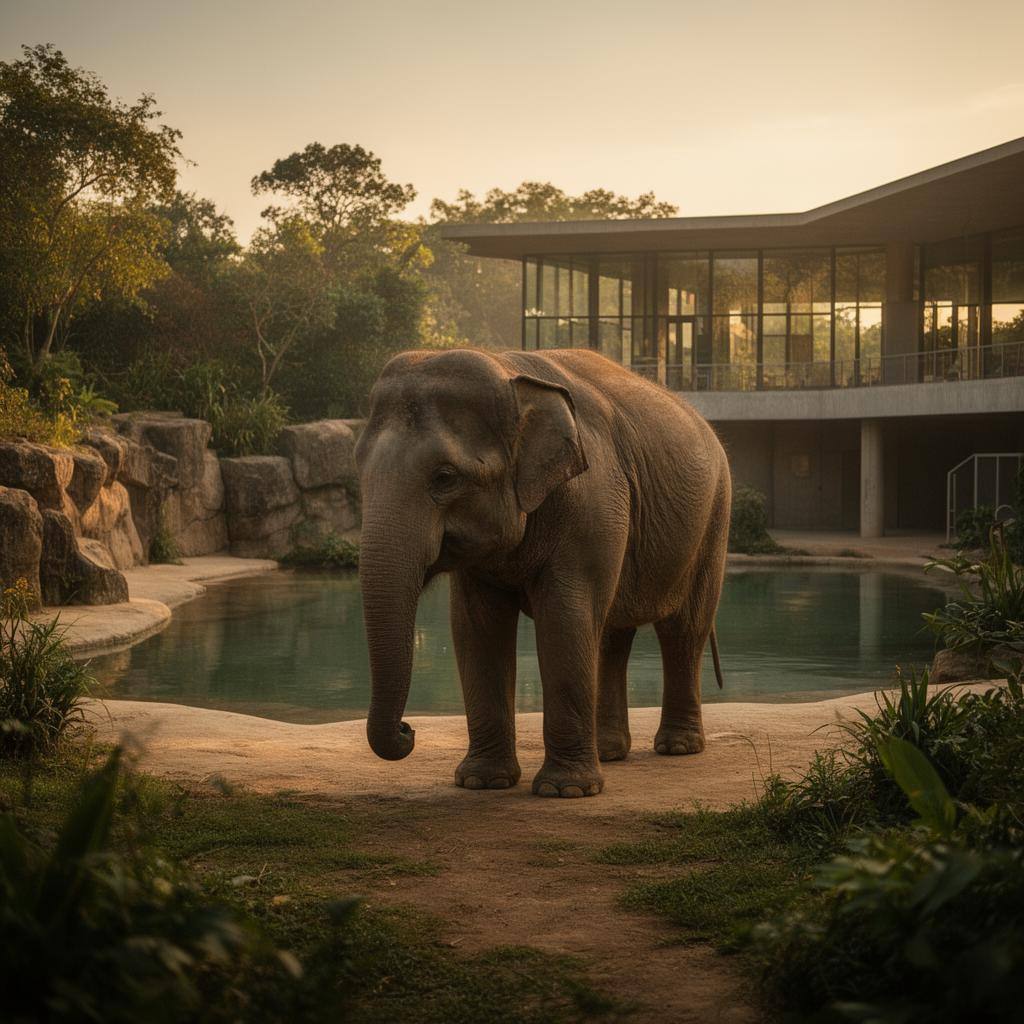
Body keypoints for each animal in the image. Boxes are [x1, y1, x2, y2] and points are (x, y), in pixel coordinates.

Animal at [354, 347, 731, 798]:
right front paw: (481, 781)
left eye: (445, 477)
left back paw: (677, 747)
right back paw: (608, 752)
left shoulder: (592, 501)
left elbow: (564, 618)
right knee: (611, 635)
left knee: (683, 629)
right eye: (358, 474)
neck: (509, 371)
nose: (408, 730)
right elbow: (476, 626)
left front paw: (565, 791)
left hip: (713, 521)